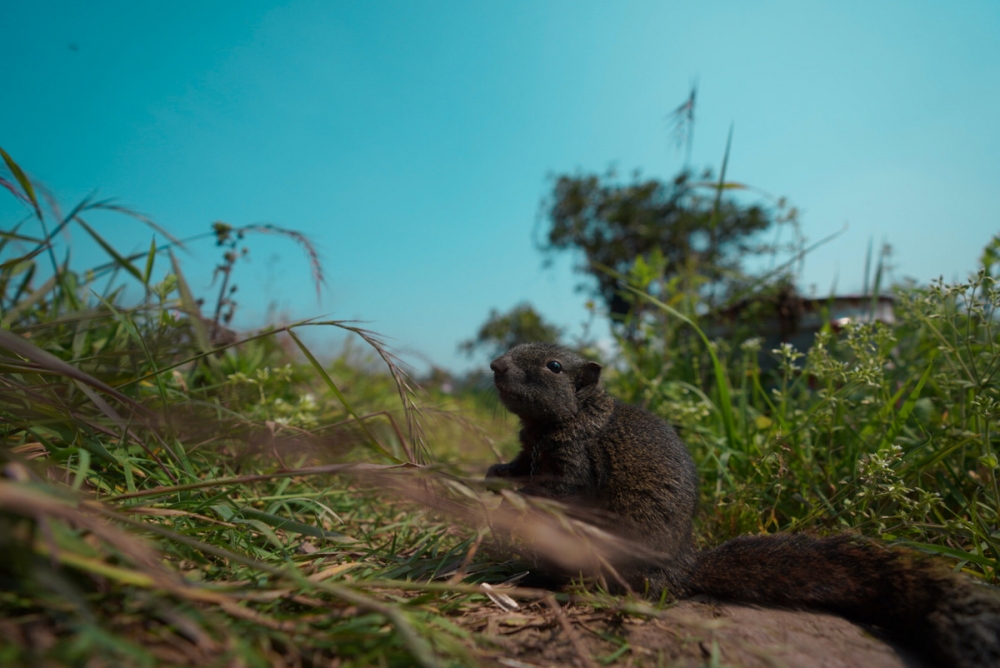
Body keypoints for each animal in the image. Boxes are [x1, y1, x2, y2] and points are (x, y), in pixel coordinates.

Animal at [488, 344, 1000, 668]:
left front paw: (519, 495)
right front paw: (495, 476)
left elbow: (562, 491)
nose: (494, 364)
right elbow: (517, 465)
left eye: (554, 365)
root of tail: (683, 570)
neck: (566, 418)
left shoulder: (577, 463)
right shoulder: (528, 448)